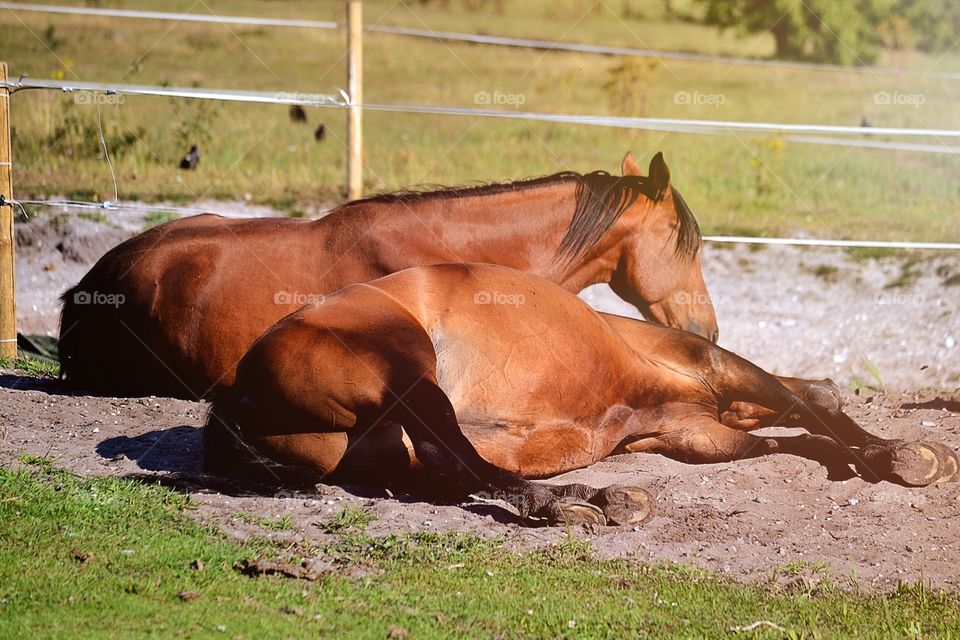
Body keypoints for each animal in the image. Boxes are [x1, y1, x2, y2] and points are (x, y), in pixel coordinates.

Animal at [206, 262, 956, 528]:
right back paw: (584, 502)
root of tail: (234, 399)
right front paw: (901, 456)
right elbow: (815, 402)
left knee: (459, 473)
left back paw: (597, 498)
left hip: (392, 443)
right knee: (472, 464)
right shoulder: (712, 367)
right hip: (407, 374)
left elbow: (787, 435)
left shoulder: (696, 433)